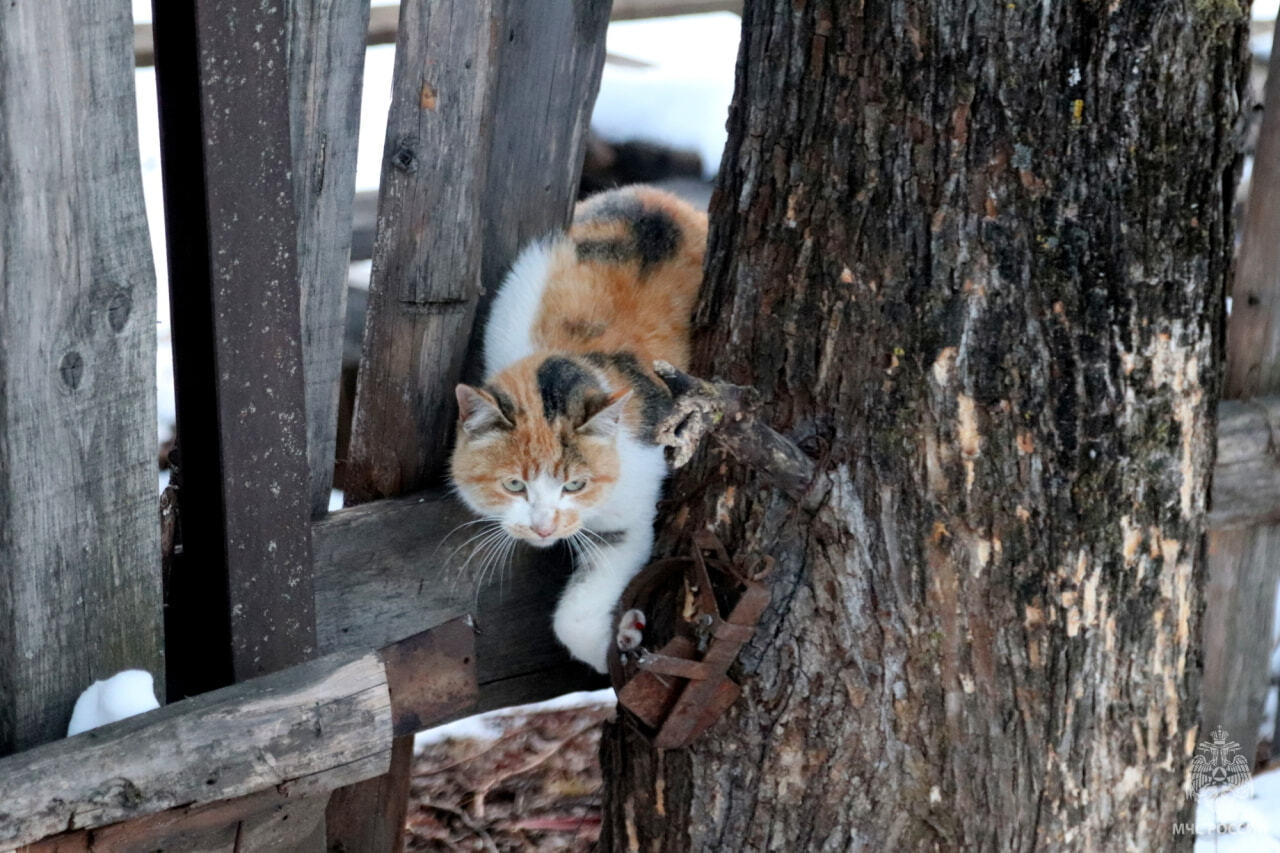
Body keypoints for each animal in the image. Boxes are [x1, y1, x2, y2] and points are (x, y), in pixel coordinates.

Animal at [450, 185, 711, 671]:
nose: (544, 527)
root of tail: (662, 196)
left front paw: (623, 641)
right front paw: (619, 646)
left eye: (575, 485)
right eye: (514, 485)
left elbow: (575, 610)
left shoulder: (631, 509)